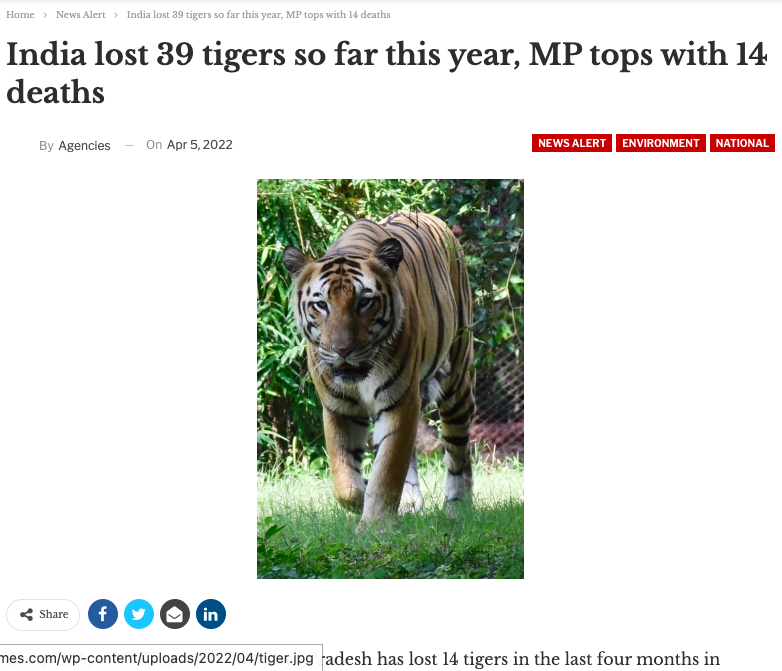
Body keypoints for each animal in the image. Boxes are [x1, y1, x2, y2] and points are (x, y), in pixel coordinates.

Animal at [282, 211, 475, 523]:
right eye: (321, 305)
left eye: (364, 302)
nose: (342, 350)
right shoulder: (338, 407)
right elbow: (346, 483)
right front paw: (363, 499)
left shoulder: (400, 400)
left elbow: (387, 470)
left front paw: (375, 525)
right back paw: (409, 505)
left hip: (457, 380)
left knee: (458, 452)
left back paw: (458, 508)